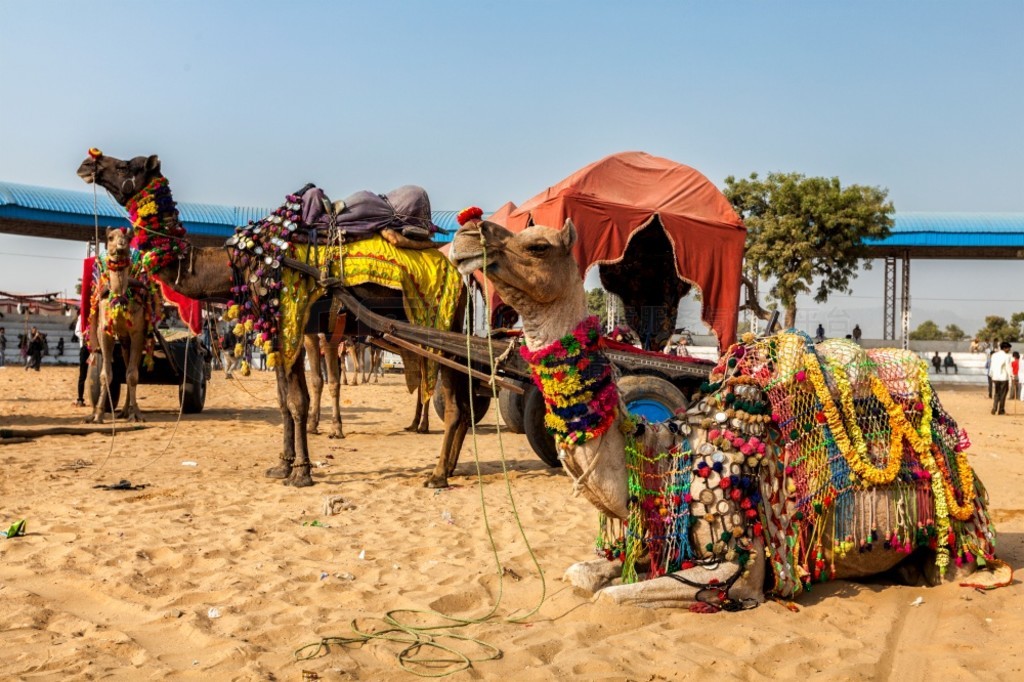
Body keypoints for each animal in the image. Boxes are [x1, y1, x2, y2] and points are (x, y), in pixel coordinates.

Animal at [87, 225, 163, 421]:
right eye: (111, 237)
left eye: (128, 238)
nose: (120, 247)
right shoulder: (104, 332)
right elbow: (106, 375)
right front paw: (98, 414)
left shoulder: (138, 333)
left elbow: (132, 375)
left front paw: (137, 413)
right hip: (122, 340)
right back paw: (120, 410)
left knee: (131, 368)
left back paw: (128, 410)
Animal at [450, 215, 999, 606]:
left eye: (538, 245)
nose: (466, 232)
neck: (663, 457)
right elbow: (583, 576)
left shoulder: (742, 562)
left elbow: (612, 597)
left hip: (956, 523)